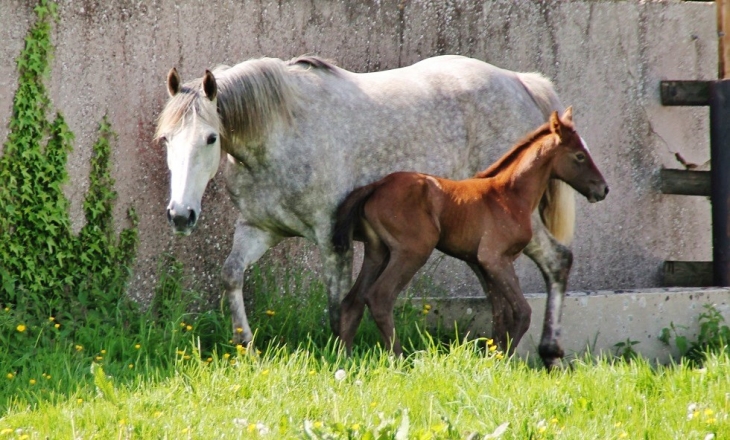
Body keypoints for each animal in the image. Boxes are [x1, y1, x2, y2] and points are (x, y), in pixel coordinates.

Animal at [332, 107, 604, 358]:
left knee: (352, 301)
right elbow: (521, 312)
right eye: (580, 155)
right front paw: (503, 360)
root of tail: (376, 185)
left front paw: (492, 357)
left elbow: (501, 313)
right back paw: (399, 357)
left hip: (377, 251)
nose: (603, 189)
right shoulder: (494, 258)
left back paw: (344, 356)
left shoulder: (484, 264)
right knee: (380, 297)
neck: (509, 194)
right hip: (413, 251)